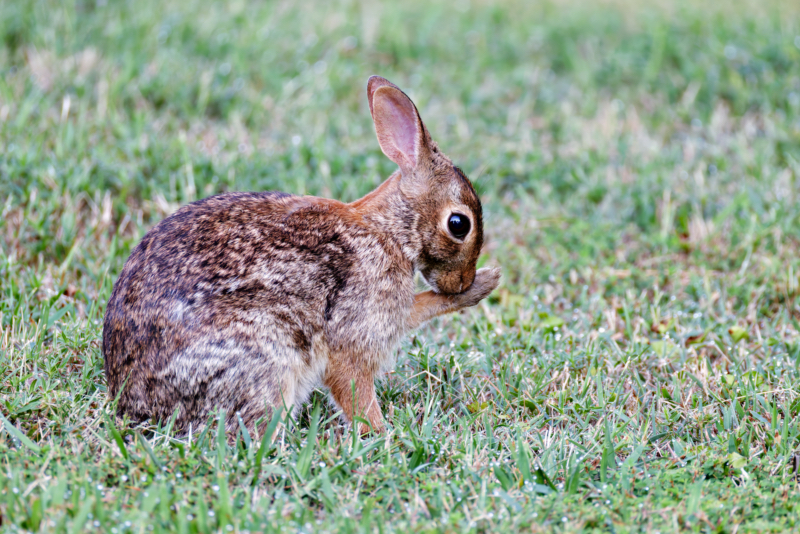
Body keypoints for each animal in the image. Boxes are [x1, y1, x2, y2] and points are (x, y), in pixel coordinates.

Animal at [103, 76, 496, 436]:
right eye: (459, 224)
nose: (462, 282)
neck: (389, 231)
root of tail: (135, 403)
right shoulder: (359, 328)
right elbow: (356, 386)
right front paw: (382, 435)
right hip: (268, 354)